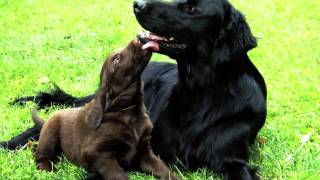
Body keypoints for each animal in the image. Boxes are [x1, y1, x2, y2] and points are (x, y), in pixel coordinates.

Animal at [32, 38, 178, 179]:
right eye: (117, 58)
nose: (138, 39)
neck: (129, 112)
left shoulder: (145, 153)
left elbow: (165, 170)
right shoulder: (97, 154)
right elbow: (119, 175)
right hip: (50, 134)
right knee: (41, 155)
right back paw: (47, 168)